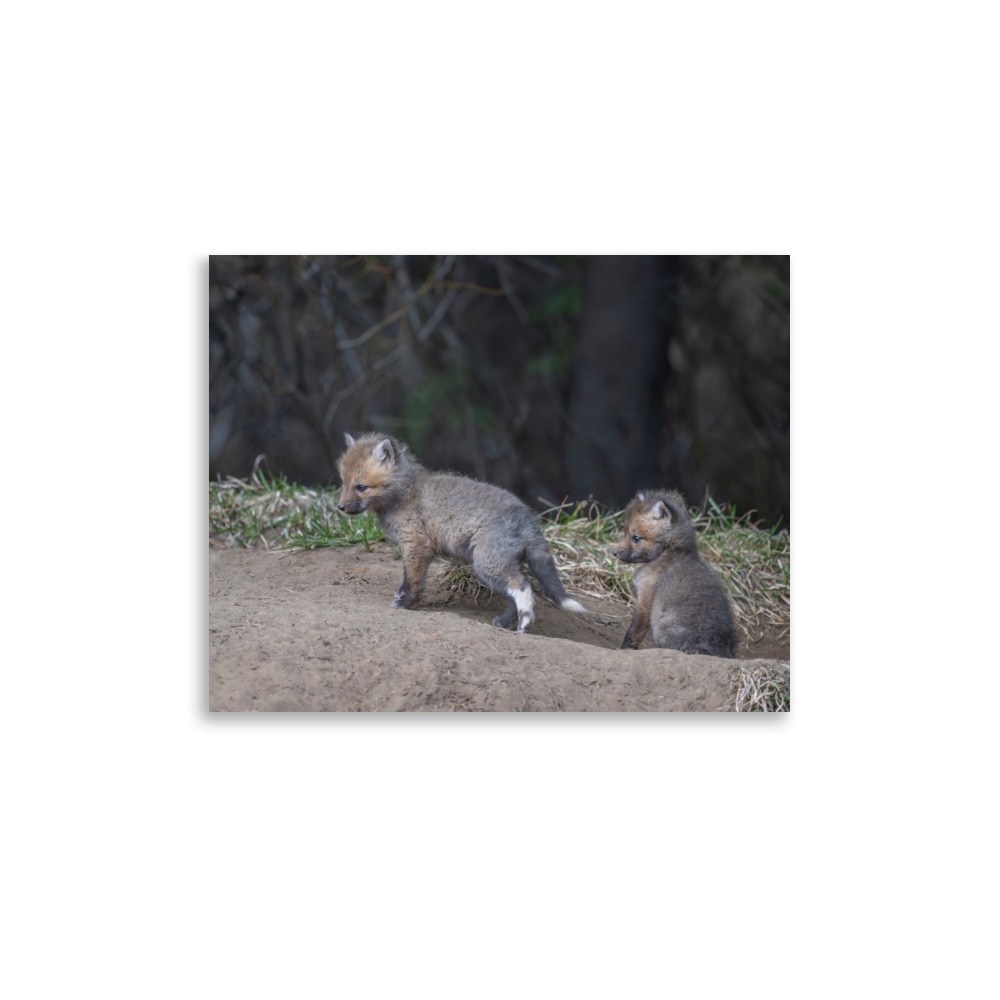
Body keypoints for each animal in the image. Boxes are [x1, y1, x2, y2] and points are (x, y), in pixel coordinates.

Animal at [336, 432, 588, 633]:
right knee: (512, 595)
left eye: (361, 487)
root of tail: (528, 517)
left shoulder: (417, 545)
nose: (340, 507)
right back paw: (506, 623)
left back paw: (525, 622)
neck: (403, 494)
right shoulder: (414, 548)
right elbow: (407, 577)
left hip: (487, 564)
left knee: (522, 585)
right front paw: (402, 595)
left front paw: (407, 603)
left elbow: (413, 580)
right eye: (344, 483)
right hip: (498, 566)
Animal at [613, 489, 735, 658]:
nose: (614, 553)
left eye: (636, 538)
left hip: (662, 627)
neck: (669, 552)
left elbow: (634, 631)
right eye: (625, 533)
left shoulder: (646, 598)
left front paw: (623, 650)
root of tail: (719, 650)